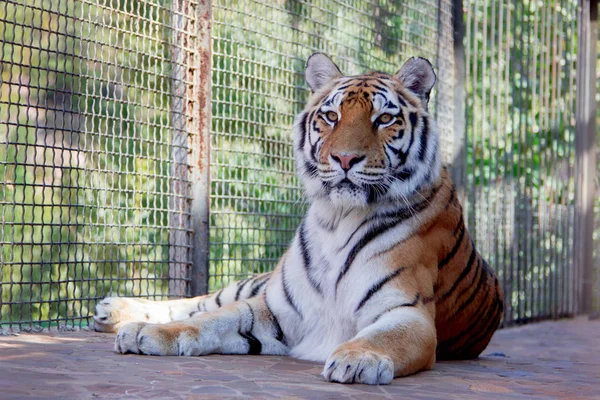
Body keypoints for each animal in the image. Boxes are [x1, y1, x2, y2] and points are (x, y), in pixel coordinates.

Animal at [94, 53, 504, 384]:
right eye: (332, 116)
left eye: (385, 118)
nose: (344, 159)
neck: (338, 219)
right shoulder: (274, 307)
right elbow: (208, 319)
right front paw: (149, 334)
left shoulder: (406, 312)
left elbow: (383, 336)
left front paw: (358, 359)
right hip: (254, 284)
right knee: (198, 301)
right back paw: (116, 312)